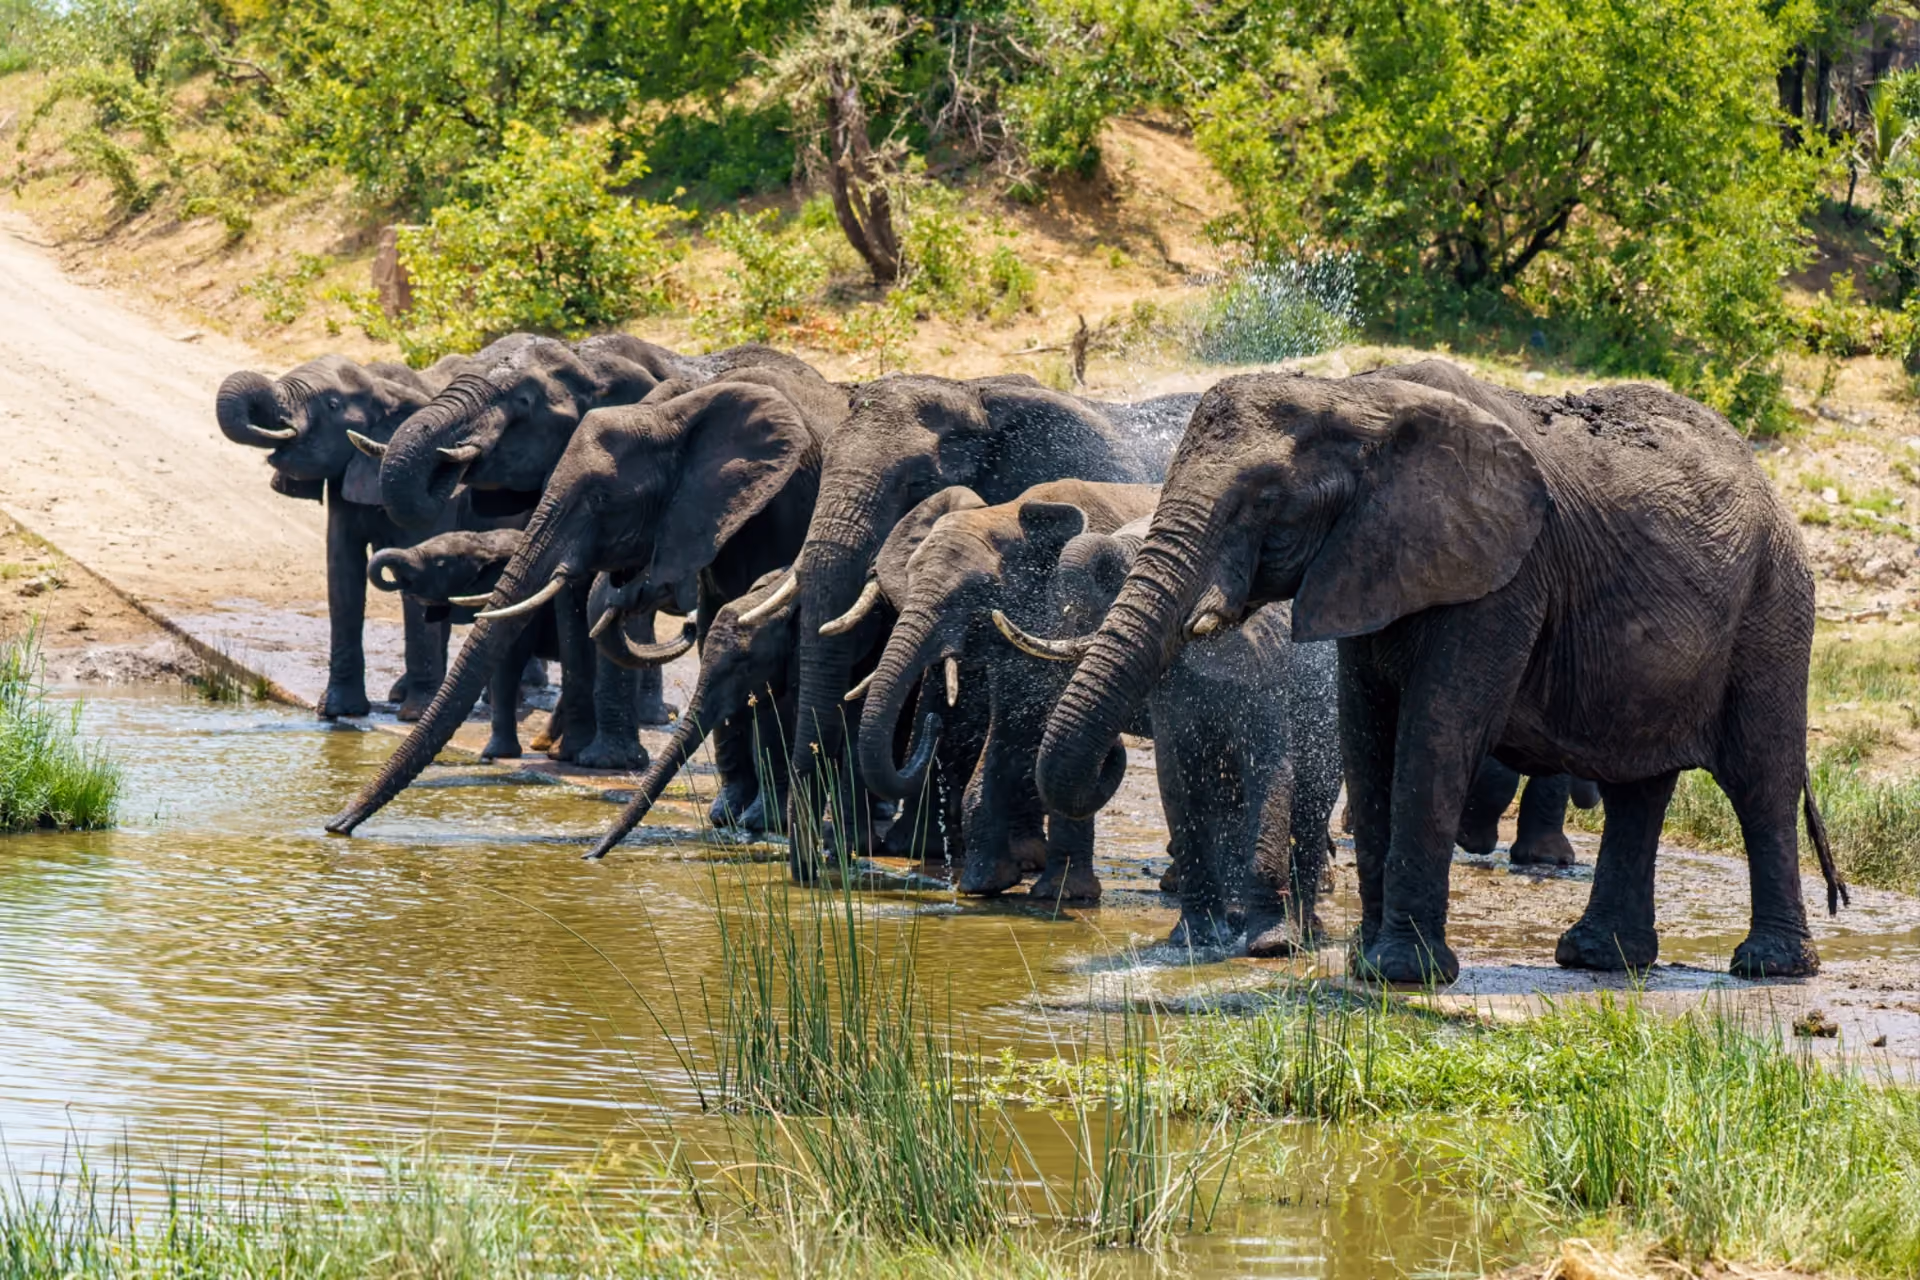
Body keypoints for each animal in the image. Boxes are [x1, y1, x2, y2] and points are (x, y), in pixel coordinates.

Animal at [216, 352, 484, 721]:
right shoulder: (344, 477)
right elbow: (343, 573)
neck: (383, 388)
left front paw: (415, 715)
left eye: (331, 405)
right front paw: (337, 711)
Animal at [328, 367, 844, 835]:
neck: (669, 416)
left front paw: (761, 821)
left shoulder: (779, 505)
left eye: (600, 500)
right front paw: (727, 815)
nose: (336, 826)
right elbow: (721, 628)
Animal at [855, 481, 1163, 903]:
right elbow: (1009, 734)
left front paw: (1064, 896)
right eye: (910, 576)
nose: (934, 720)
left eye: (974, 592)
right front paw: (985, 884)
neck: (1008, 515)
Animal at [1000, 520, 1341, 951]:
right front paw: (1194, 940)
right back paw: (1239, 918)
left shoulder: (1266, 662)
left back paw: (1307, 929)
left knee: (1314, 797)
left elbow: (1270, 770)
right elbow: (1177, 776)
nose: (1111, 750)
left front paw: (1271, 946)